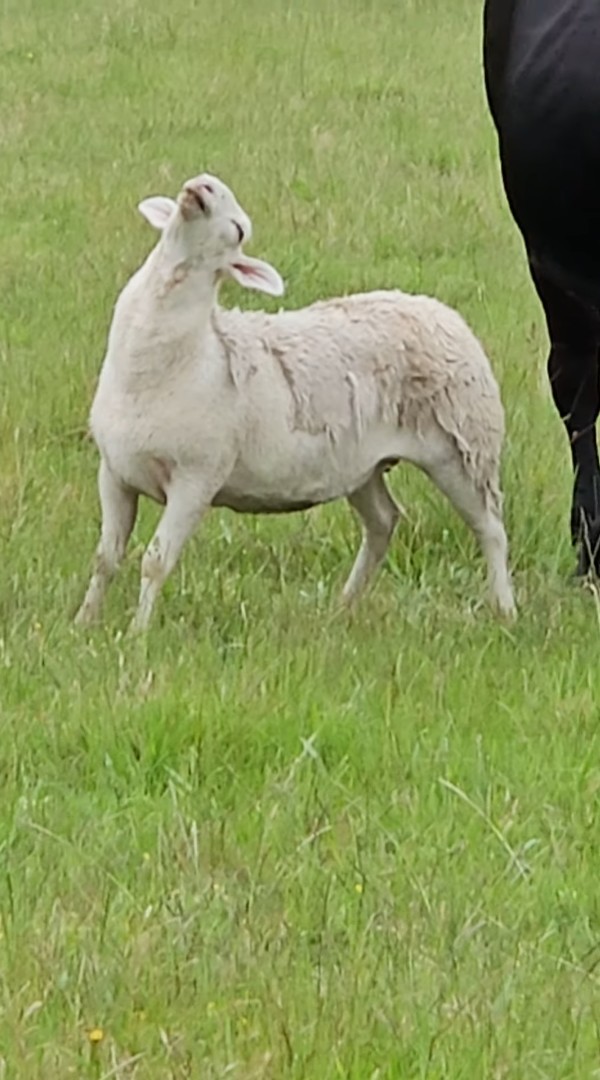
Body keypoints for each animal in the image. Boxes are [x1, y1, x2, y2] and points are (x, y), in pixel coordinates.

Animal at [75, 170, 515, 630]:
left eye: (239, 231)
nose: (203, 185)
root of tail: (440, 310)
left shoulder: (197, 478)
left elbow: (155, 562)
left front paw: (137, 632)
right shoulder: (115, 471)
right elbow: (105, 558)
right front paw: (84, 621)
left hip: (463, 447)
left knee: (490, 529)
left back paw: (505, 608)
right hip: (362, 466)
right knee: (383, 521)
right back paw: (344, 604)